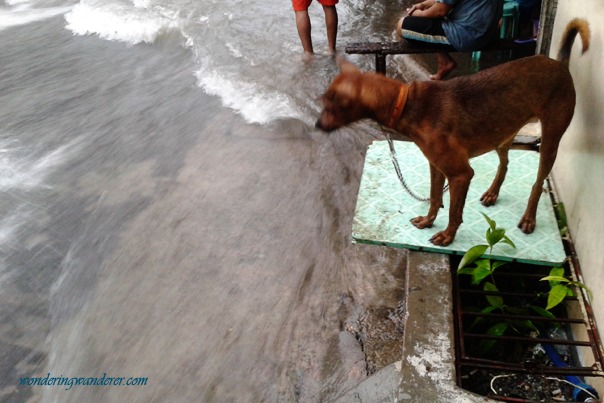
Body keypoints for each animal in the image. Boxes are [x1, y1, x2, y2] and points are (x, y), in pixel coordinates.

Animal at [316, 19, 588, 246]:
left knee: (538, 183)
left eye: (332, 104)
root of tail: (559, 63)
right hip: (502, 134)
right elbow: (435, 197)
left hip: (550, 141)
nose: (317, 125)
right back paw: (492, 193)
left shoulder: (460, 175)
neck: (407, 104)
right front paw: (428, 221)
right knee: (504, 165)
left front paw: (448, 235)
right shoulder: (436, 166)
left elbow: (455, 212)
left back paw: (529, 218)